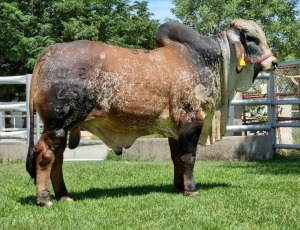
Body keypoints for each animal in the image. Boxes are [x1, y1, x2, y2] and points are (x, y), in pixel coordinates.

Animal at [25, 18, 276, 207]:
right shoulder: (191, 120)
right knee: (45, 156)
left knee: (58, 159)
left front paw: (178, 188)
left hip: (61, 128)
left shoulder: (174, 129)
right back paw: (45, 200)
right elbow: (189, 157)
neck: (207, 60)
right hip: (57, 124)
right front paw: (191, 190)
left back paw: (64, 196)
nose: (274, 62)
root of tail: (53, 49)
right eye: (251, 37)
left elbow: (177, 159)